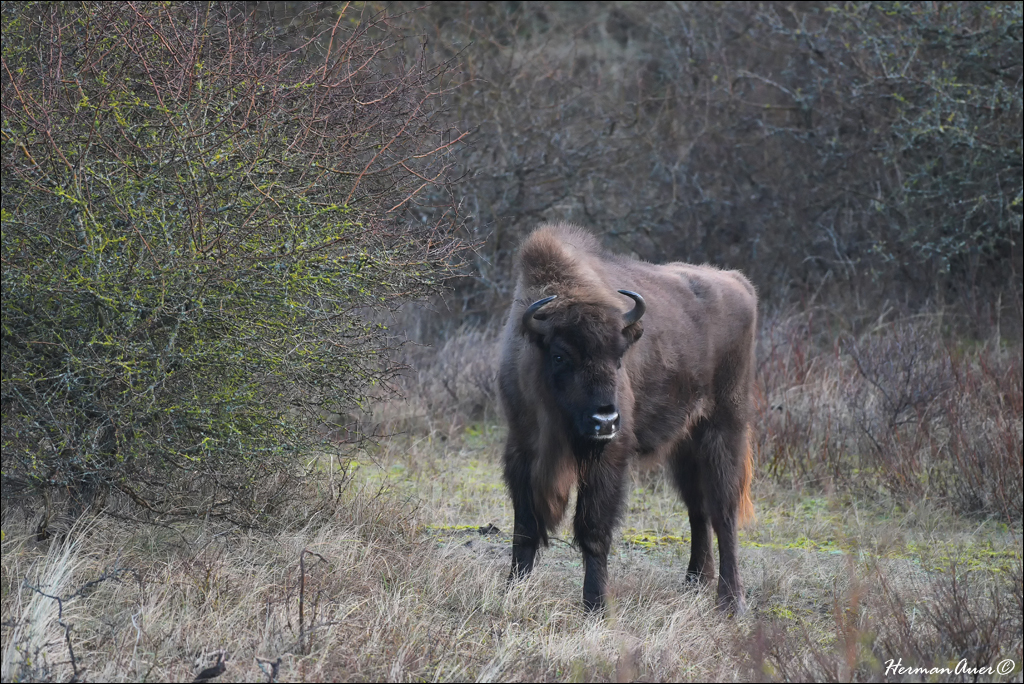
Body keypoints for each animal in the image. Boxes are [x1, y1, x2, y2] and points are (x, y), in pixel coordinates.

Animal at [499, 224, 757, 614]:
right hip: (686, 444)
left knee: (723, 511)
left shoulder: (608, 457)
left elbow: (593, 530)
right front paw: (514, 589)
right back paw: (695, 581)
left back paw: (730, 601)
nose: (605, 420)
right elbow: (526, 527)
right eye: (560, 356)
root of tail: (739, 283)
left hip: (725, 427)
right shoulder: (522, 450)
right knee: (698, 509)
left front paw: (596, 605)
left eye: (620, 356)